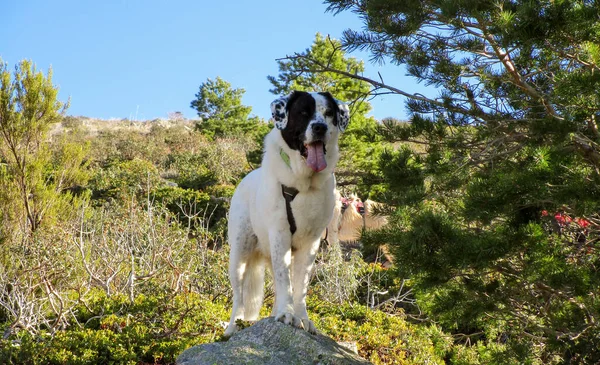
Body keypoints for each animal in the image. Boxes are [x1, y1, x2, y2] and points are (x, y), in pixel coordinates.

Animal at [224, 91, 346, 336]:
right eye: (303, 112)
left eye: (329, 113)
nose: (319, 127)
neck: (304, 185)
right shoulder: (280, 234)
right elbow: (284, 282)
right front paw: (288, 314)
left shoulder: (311, 243)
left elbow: (299, 285)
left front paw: (302, 318)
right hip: (240, 253)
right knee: (238, 295)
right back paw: (233, 327)